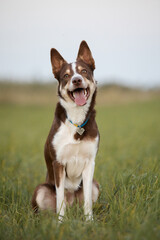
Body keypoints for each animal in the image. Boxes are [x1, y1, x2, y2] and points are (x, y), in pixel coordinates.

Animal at [31, 40, 100, 220]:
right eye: (66, 76)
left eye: (84, 71)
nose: (76, 80)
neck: (76, 119)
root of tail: (72, 204)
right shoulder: (58, 163)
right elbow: (60, 197)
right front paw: (61, 223)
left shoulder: (90, 163)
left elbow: (87, 200)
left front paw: (89, 221)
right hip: (41, 189)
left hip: (96, 185)